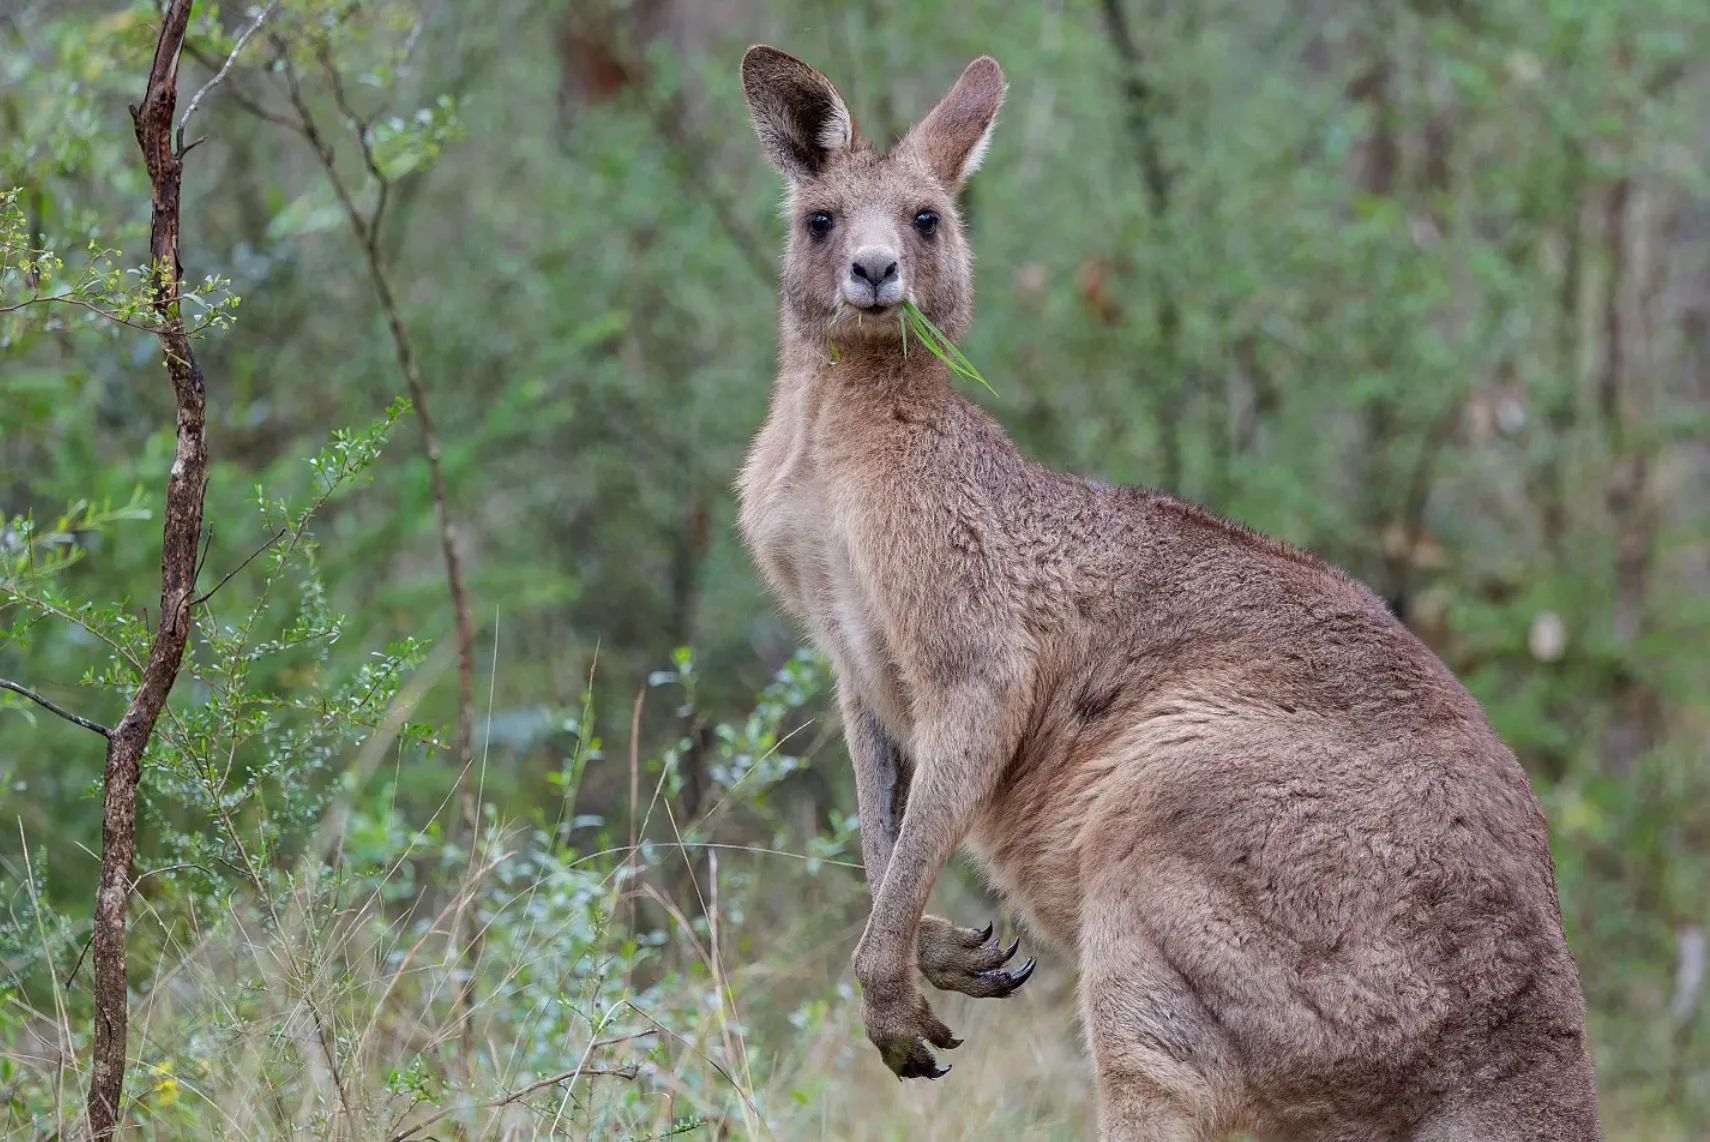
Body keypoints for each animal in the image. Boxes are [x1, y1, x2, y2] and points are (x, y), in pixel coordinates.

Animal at [734, 44, 1601, 1141]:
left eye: (927, 218)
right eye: (821, 219)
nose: (876, 271)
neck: (837, 428)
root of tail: (1535, 1040)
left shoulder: (971, 638)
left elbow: (950, 763)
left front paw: (890, 992)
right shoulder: (854, 658)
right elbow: (885, 825)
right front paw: (942, 946)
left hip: (1171, 853)